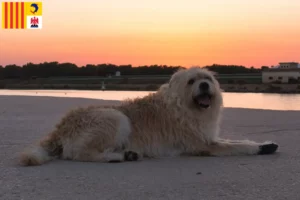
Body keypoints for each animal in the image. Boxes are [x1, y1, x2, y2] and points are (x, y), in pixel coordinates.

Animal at [19, 67, 278, 166]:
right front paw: (259, 149)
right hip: (115, 117)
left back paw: (126, 154)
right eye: (192, 81)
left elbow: (237, 140)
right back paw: (117, 157)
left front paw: (265, 144)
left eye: (208, 79)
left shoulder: (207, 137)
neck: (184, 106)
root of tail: (60, 128)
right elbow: (237, 146)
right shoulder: (204, 145)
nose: (205, 85)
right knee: (77, 154)